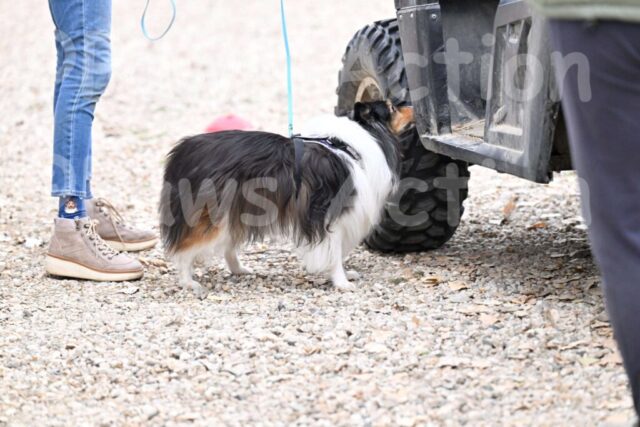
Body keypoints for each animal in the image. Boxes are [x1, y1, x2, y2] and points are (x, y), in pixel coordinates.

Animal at [159, 101, 414, 298]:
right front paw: (341, 282)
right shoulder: (331, 219)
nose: (412, 105)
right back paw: (188, 282)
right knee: (184, 248)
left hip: (237, 210)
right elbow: (334, 253)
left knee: (227, 247)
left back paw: (239, 270)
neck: (350, 146)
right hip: (213, 215)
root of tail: (183, 151)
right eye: (391, 106)